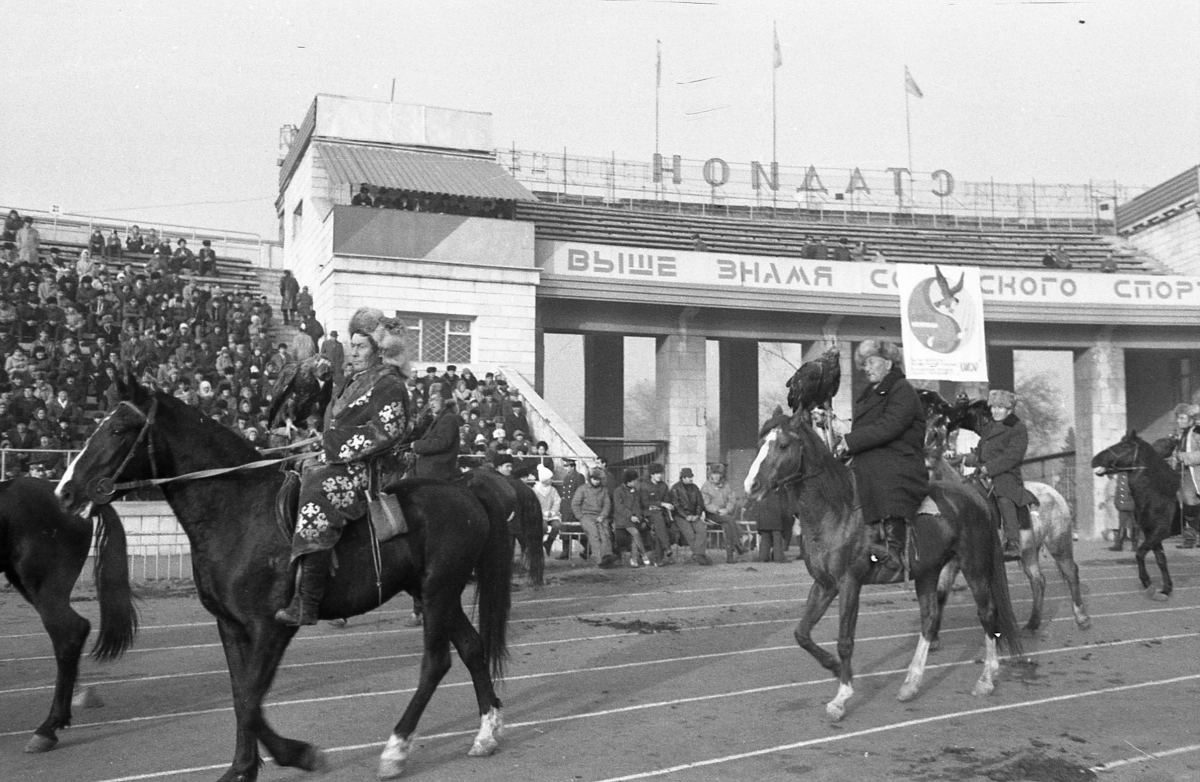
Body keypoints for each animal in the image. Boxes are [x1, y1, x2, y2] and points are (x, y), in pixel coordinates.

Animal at [56, 381, 516, 782]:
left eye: (118, 429)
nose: (65, 492)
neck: (239, 510)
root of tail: (467, 491)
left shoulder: (271, 626)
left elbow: (248, 699)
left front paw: (298, 754)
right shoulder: (230, 625)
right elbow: (241, 694)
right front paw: (241, 769)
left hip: (438, 591)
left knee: (435, 662)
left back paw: (396, 751)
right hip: (435, 592)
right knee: (472, 647)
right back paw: (487, 734)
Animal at [744, 414, 1017, 719]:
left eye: (782, 445)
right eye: (760, 444)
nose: (751, 485)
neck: (835, 510)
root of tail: (976, 496)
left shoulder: (849, 583)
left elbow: (845, 640)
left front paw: (841, 696)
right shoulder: (825, 584)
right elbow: (802, 634)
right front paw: (835, 668)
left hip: (974, 567)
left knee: (987, 613)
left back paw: (986, 679)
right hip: (927, 572)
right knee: (929, 618)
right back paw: (911, 684)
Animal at [1094, 431, 1176, 594]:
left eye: (1123, 445)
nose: (1095, 459)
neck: (1156, 495)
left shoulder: (1159, 532)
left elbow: (1139, 553)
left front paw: (1146, 580)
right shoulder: (1153, 535)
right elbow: (1161, 560)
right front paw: (1166, 588)